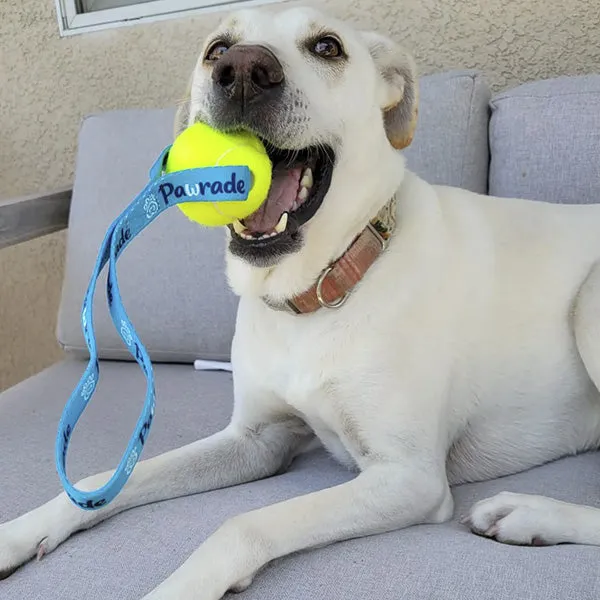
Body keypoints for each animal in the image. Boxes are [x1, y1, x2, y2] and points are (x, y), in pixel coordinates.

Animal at [1, 5, 600, 600]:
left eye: (328, 46)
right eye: (217, 49)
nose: (243, 71)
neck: (315, 293)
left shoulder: (409, 477)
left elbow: (245, 524)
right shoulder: (256, 440)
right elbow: (104, 480)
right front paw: (21, 532)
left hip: (587, 307)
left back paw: (527, 514)